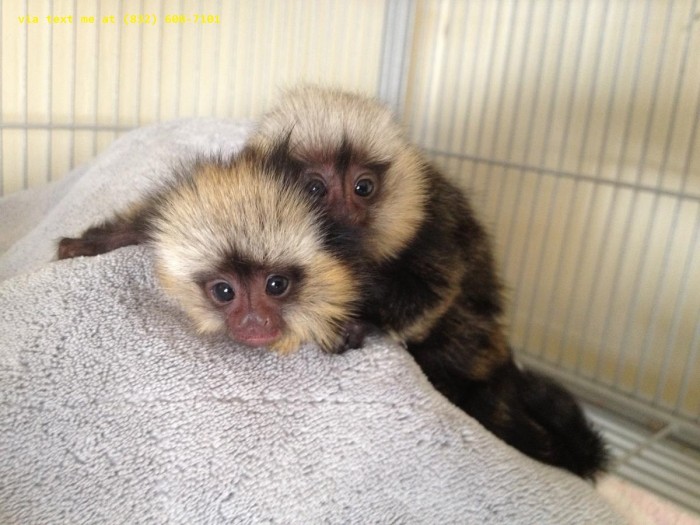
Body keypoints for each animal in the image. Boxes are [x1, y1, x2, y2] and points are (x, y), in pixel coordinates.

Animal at [244, 85, 608, 479]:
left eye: (363, 187)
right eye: (314, 188)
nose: (345, 214)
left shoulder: (434, 222)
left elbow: (427, 295)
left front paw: (354, 323)